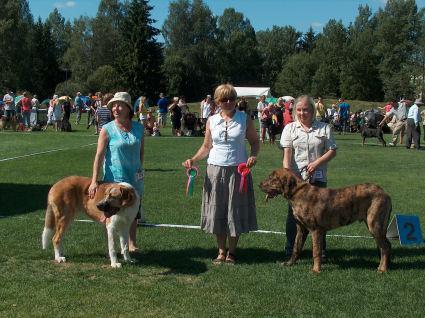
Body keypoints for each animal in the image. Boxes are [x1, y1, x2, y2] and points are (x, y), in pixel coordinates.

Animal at [258, 169, 390, 274]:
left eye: (271, 178)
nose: (259, 184)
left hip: (374, 224)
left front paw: (316, 270)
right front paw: (289, 263)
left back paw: (382, 268)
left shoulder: (316, 229)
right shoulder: (301, 229)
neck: (297, 192)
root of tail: (385, 193)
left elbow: (316, 251)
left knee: (385, 247)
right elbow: (296, 248)